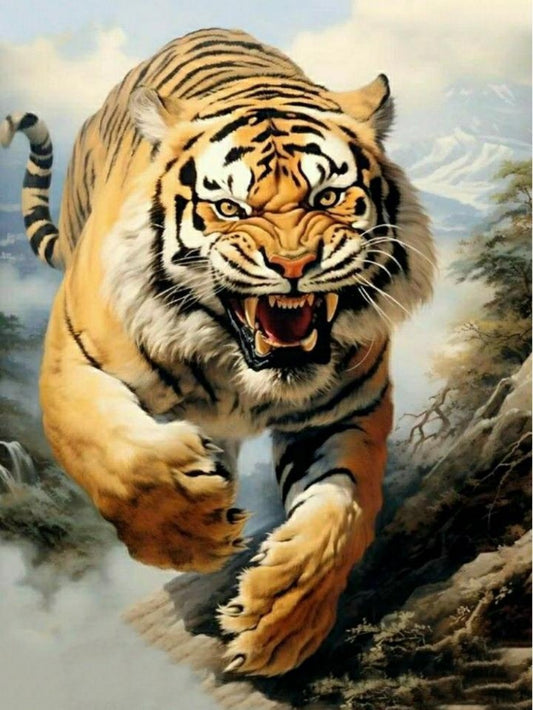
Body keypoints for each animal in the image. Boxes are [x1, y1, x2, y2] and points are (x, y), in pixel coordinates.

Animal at [1, 28, 434, 676]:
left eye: (328, 196)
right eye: (231, 208)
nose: (293, 266)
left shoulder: (347, 410)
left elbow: (342, 513)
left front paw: (279, 622)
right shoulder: (71, 362)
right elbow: (116, 459)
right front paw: (194, 532)